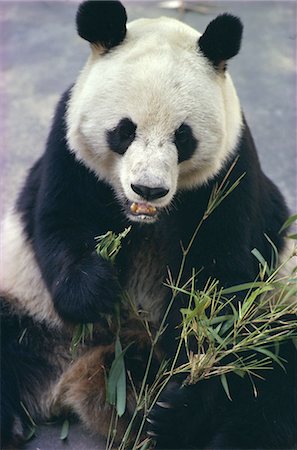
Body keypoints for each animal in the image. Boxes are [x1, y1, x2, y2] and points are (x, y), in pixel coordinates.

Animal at [0, 1, 296, 448]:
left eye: (183, 136)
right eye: (124, 131)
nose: (148, 188)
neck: (141, 218)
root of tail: (70, 382)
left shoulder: (230, 172)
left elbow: (217, 286)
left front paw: (180, 399)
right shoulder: (67, 148)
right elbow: (59, 221)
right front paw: (95, 291)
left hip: (274, 309)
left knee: (269, 374)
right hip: (27, 305)